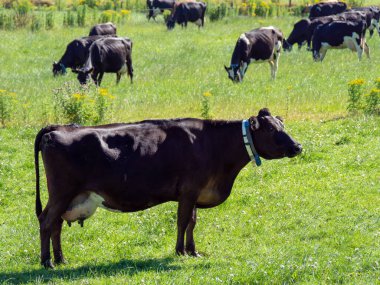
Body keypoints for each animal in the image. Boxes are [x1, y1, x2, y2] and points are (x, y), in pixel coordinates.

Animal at [35, 107, 302, 268]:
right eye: (271, 129)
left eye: (282, 126)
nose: (298, 146)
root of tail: (57, 127)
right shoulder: (189, 190)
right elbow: (183, 222)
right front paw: (180, 251)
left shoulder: (195, 193)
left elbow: (192, 222)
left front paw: (193, 251)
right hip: (62, 192)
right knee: (47, 222)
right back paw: (47, 262)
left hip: (66, 197)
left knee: (56, 224)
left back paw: (60, 259)